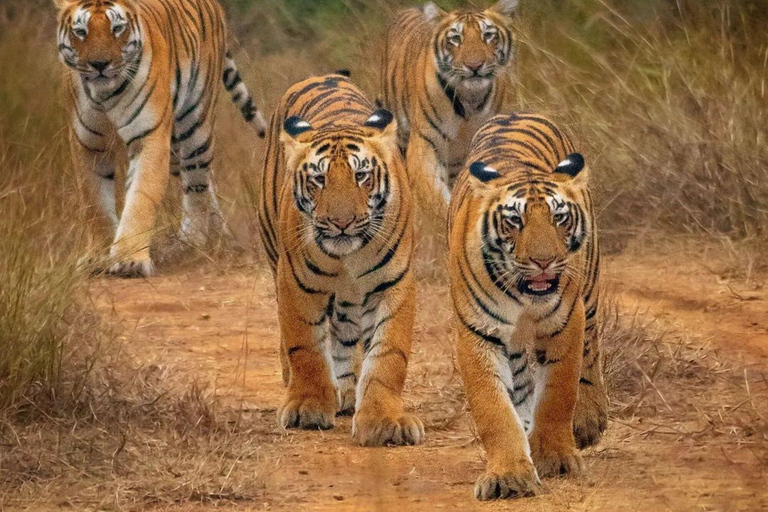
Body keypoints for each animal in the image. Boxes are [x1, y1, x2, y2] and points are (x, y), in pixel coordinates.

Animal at [54, 0, 268, 278]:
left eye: (117, 28)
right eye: (81, 32)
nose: (100, 64)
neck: (104, 95)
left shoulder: (150, 137)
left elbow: (141, 197)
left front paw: (130, 260)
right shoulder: (88, 144)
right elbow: (95, 202)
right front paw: (99, 256)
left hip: (194, 126)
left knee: (196, 184)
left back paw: (192, 241)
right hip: (175, 147)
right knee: (203, 182)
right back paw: (219, 234)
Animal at [256, 74, 424, 446]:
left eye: (361, 176)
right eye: (319, 179)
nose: (342, 222)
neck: (349, 257)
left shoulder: (394, 284)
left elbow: (388, 355)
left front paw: (384, 421)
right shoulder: (296, 283)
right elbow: (305, 346)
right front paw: (307, 407)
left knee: (344, 336)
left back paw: (346, 392)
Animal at [381, 0, 518, 220]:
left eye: (488, 35)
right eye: (455, 38)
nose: (474, 66)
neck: (470, 98)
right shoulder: (423, 146)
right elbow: (436, 197)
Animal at [447, 113, 606, 500]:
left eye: (559, 218)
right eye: (514, 221)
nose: (544, 261)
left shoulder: (566, 322)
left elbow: (558, 393)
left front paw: (555, 458)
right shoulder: (478, 332)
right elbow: (493, 408)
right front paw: (509, 475)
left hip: (590, 289)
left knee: (592, 348)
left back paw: (589, 420)